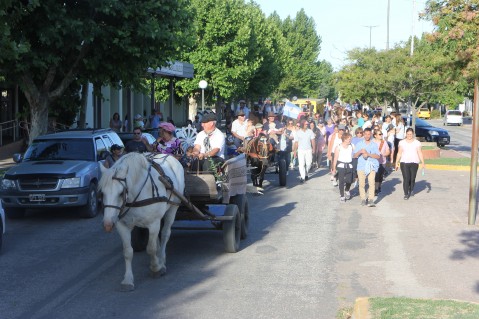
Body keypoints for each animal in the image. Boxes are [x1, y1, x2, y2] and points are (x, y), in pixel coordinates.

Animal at [98, 153, 185, 292]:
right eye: (102, 193)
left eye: (121, 193)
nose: (107, 224)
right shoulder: (122, 225)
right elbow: (128, 252)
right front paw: (128, 280)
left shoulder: (153, 223)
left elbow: (150, 248)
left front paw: (156, 268)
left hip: (173, 208)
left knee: (165, 234)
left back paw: (162, 260)